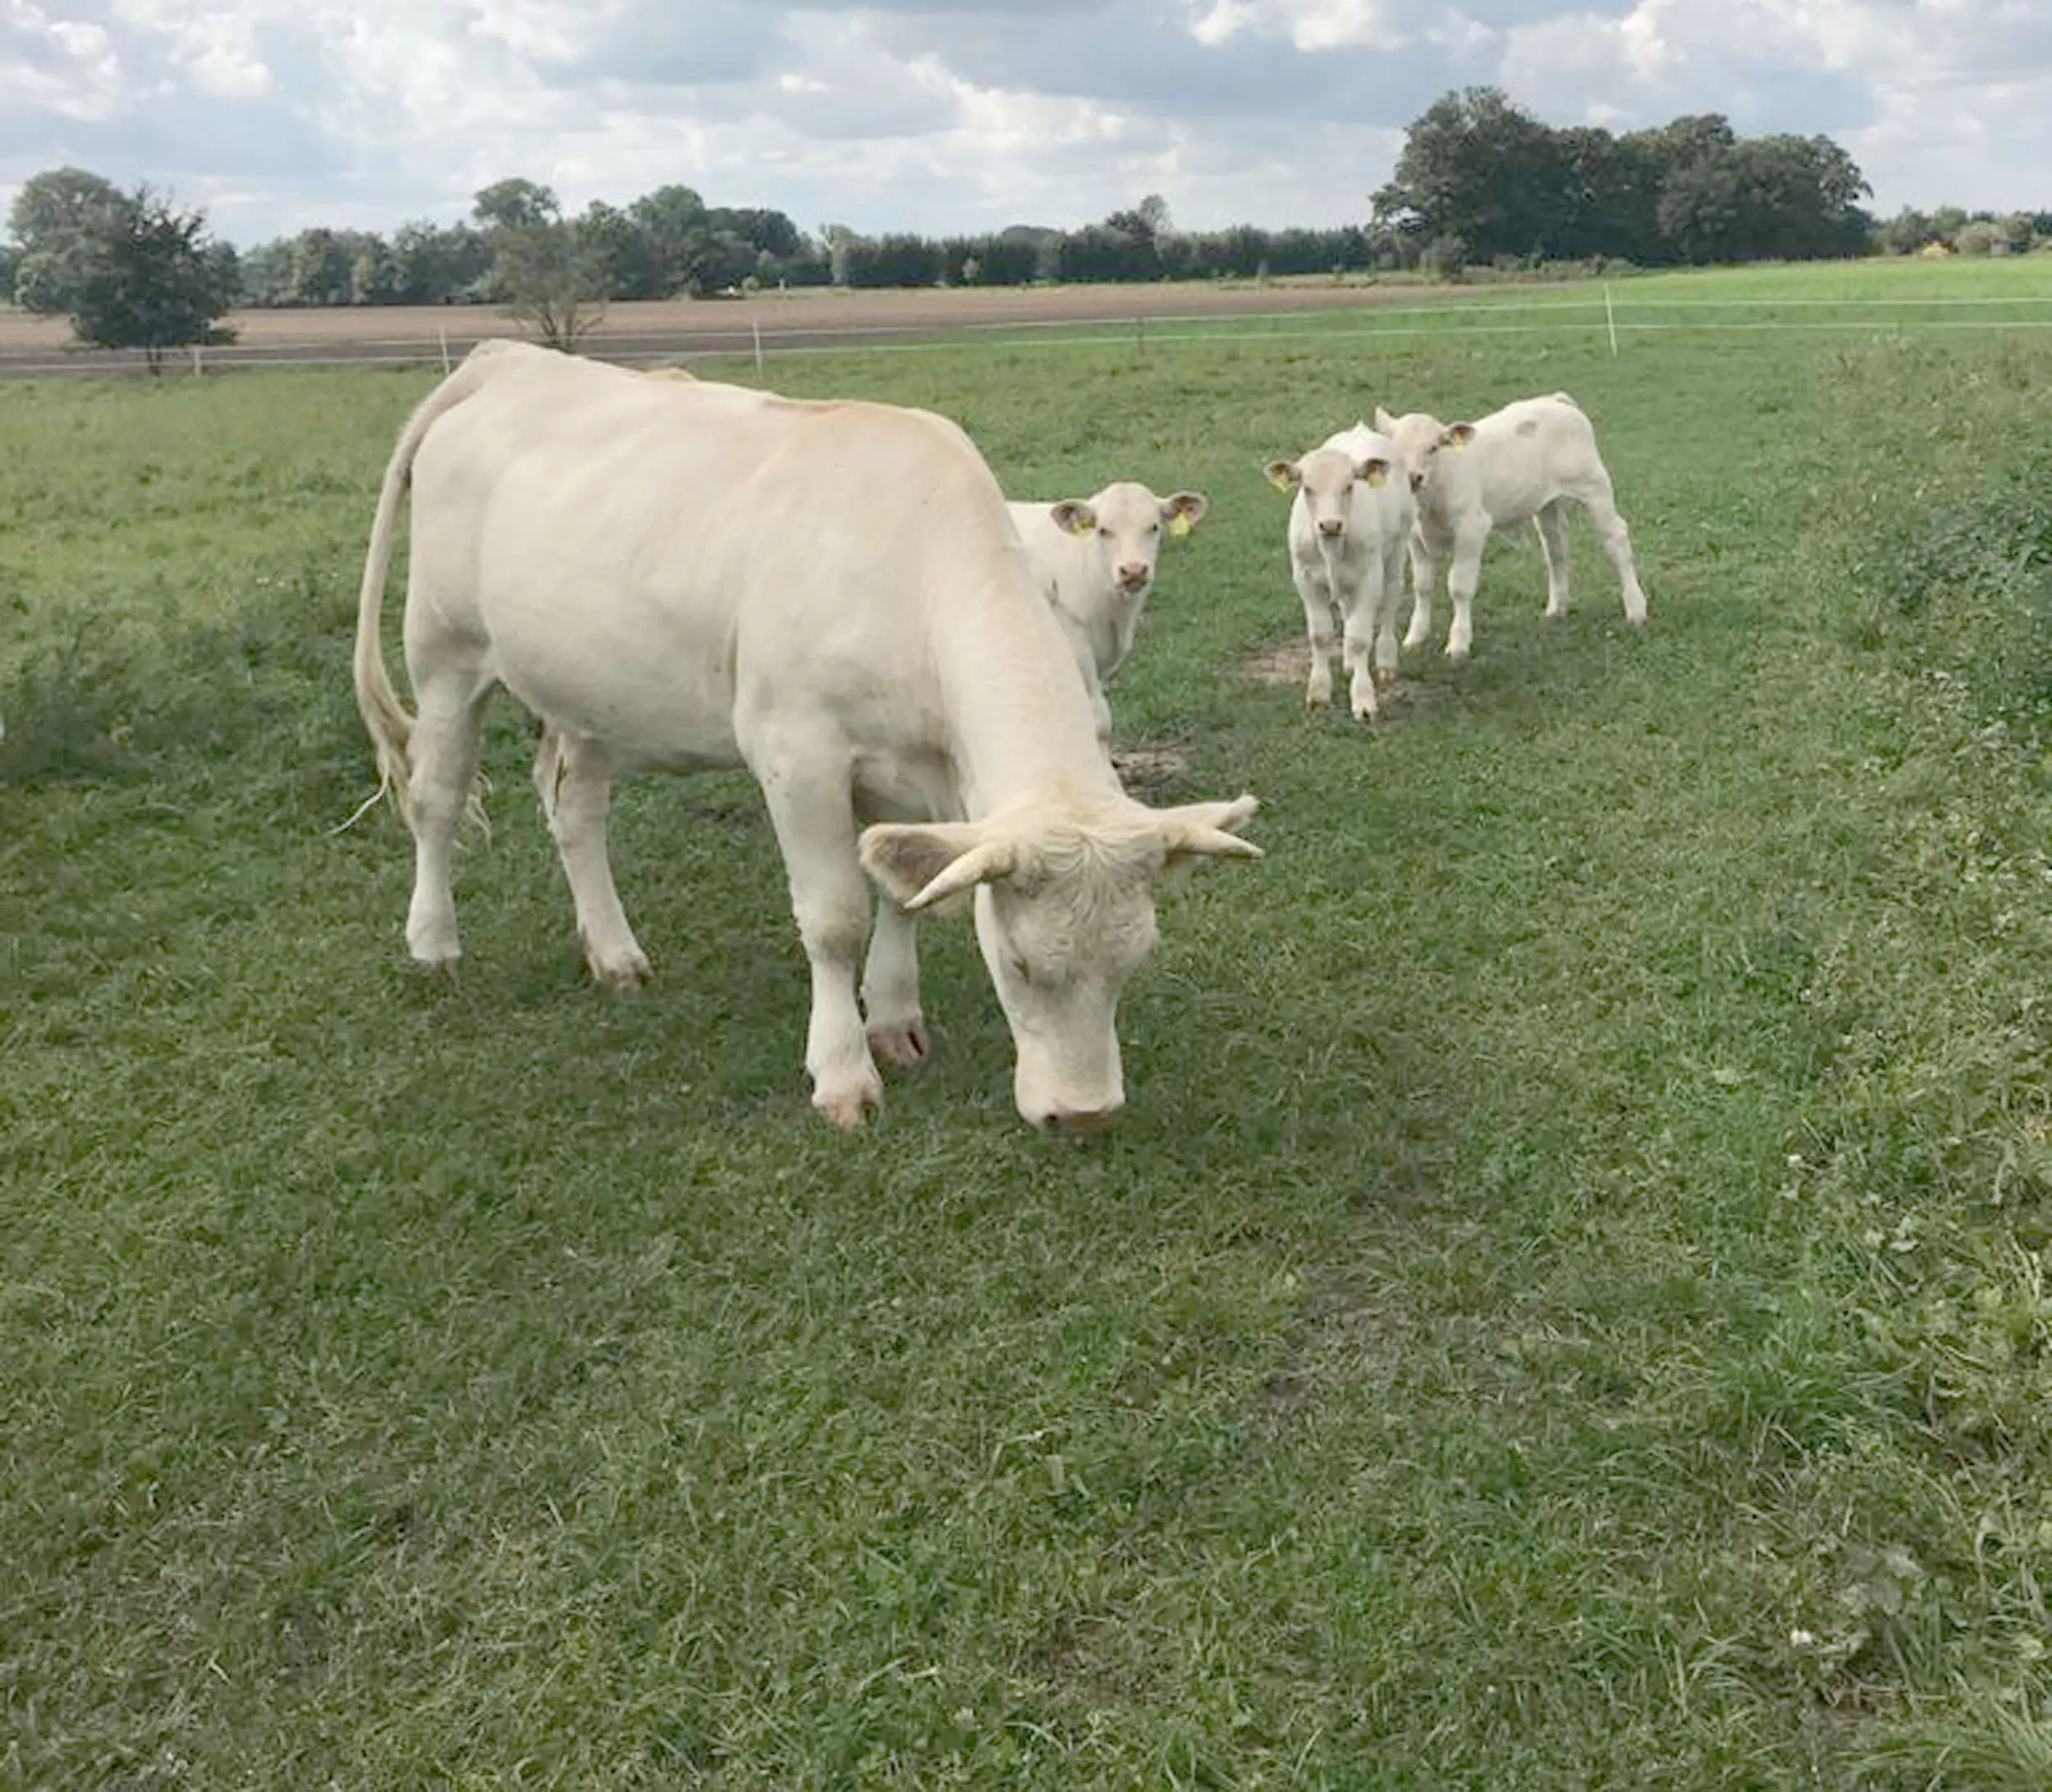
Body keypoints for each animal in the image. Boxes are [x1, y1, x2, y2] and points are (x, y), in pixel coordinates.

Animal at [1263, 423, 1415, 722]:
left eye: (1349, 486)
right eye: (1307, 488)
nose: (1330, 524)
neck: (1331, 548)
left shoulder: (1369, 579)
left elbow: (1359, 637)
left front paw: (1363, 699)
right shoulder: (1306, 580)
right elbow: (1321, 635)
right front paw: (1318, 695)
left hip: (1397, 549)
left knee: (1390, 605)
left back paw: (1386, 662)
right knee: (1347, 609)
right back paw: (1348, 663)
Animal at [1374, 393, 1648, 663]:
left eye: (1434, 447)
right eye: (1396, 451)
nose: (1413, 478)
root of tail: (1556, 399)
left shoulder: (1472, 527)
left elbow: (1460, 587)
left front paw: (1459, 644)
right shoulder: (1415, 537)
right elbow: (1422, 587)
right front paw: (1414, 638)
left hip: (1594, 487)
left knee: (1616, 539)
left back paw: (1636, 609)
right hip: (1547, 505)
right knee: (1556, 549)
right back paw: (1557, 608)